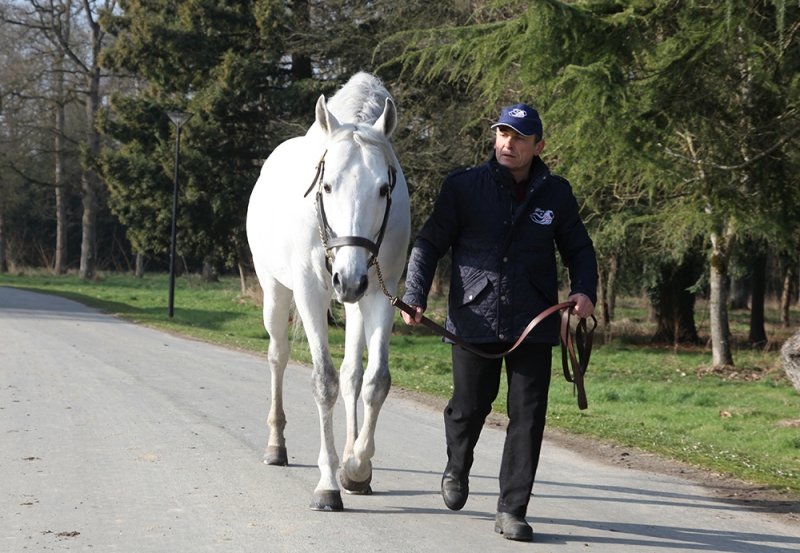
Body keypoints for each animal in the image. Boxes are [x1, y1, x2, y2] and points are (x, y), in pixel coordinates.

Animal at [246, 73, 411, 511]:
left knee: (354, 372)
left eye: (384, 189)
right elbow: (324, 381)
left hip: (355, 297)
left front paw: (356, 467)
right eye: (329, 185)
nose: (348, 279)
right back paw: (276, 446)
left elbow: (374, 381)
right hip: (276, 291)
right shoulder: (310, 293)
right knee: (278, 356)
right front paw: (328, 484)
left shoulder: (381, 292)